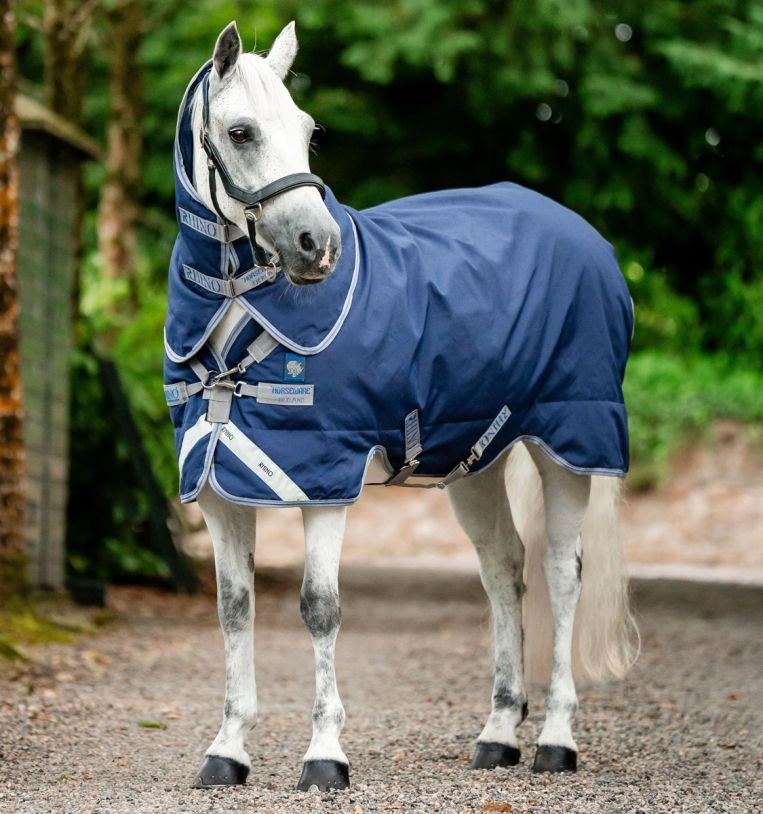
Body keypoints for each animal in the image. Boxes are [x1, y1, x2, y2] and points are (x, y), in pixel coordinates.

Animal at [164, 20, 638, 793]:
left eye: (306, 129)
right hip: (478, 462)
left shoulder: (323, 478)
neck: (240, 311)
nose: (316, 247)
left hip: (570, 443)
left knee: (562, 576)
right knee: (503, 570)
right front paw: (227, 750)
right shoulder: (216, 486)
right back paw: (497, 734)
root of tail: (585, 237)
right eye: (240, 132)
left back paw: (556, 741)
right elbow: (234, 610)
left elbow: (319, 608)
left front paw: (324, 755)